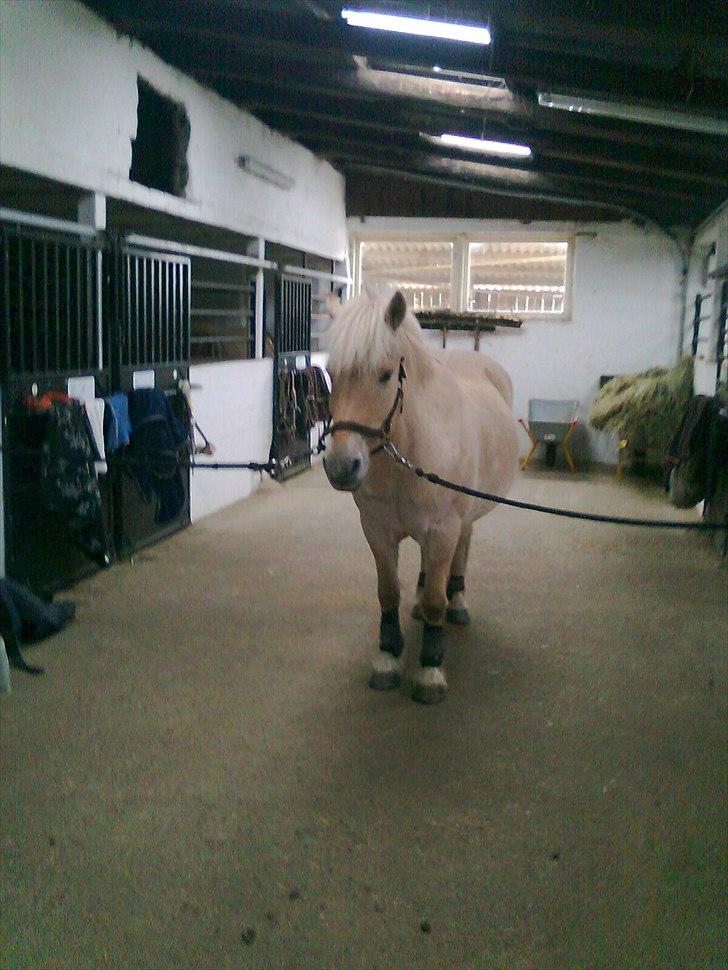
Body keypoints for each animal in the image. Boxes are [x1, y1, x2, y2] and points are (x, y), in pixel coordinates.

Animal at [322, 288, 519, 704]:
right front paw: (387, 657)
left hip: (462, 519)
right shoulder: (377, 531)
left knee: (462, 549)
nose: (342, 466)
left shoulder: (443, 529)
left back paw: (457, 602)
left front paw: (430, 669)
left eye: (384, 374)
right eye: (332, 373)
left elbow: (434, 602)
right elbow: (388, 593)